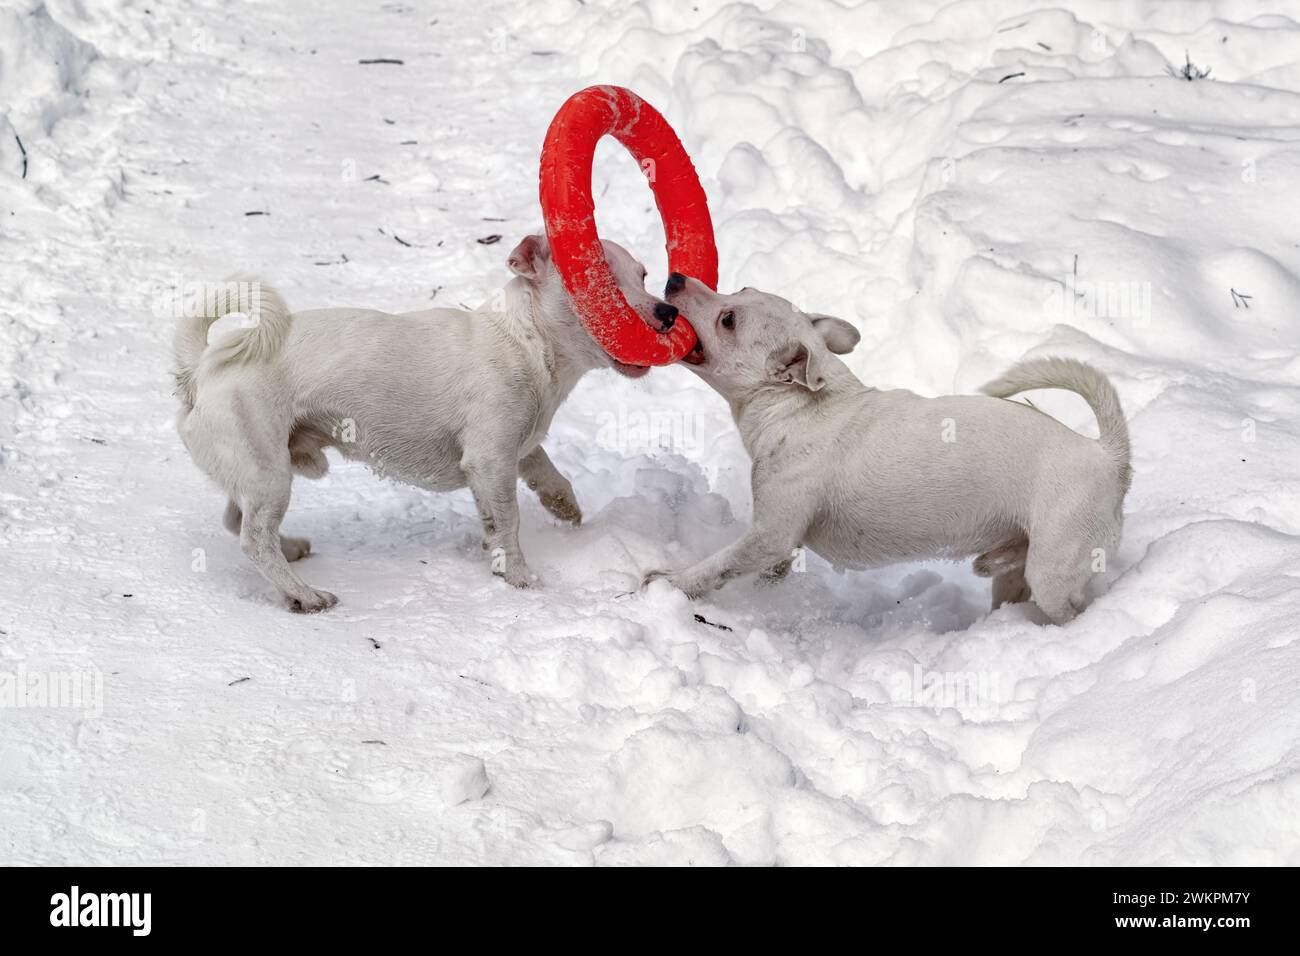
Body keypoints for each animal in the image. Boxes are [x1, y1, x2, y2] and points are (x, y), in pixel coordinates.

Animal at [175, 238, 681, 613]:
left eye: (643, 276)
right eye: (601, 283)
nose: (668, 313)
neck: (525, 341)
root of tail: (200, 369)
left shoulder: (519, 447)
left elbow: (547, 472)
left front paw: (565, 507)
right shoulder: (490, 459)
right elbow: (507, 522)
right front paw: (518, 578)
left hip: (261, 469)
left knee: (236, 518)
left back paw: (293, 548)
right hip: (268, 473)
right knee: (253, 540)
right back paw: (303, 593)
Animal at [650, 273, 1128, 624]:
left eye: (728, 319)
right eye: (742, 289)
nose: (675, 277)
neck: (796, 407)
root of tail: (1109, 455)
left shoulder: (769, 536)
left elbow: (716, 567)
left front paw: (666, 584)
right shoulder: (783, 544)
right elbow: (766, 574)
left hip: (1055, 570)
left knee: (1073, 608)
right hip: (1018, 565)